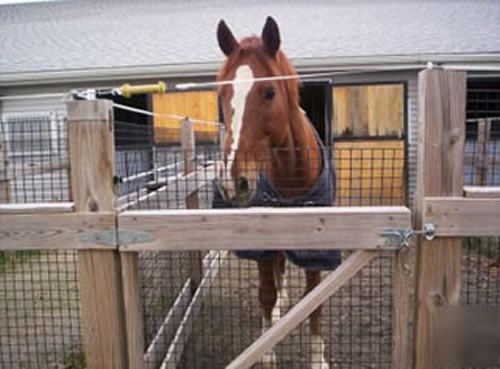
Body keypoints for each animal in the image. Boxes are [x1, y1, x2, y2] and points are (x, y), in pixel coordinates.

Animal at [213, 17, 342, 368]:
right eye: (221, 92)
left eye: (269, 91)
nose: (233, 182)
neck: (291, 175)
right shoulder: (262, 245)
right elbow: (266, 293)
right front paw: (267, 349)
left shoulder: (317, 250)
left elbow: (315, 302)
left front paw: (317, 359)